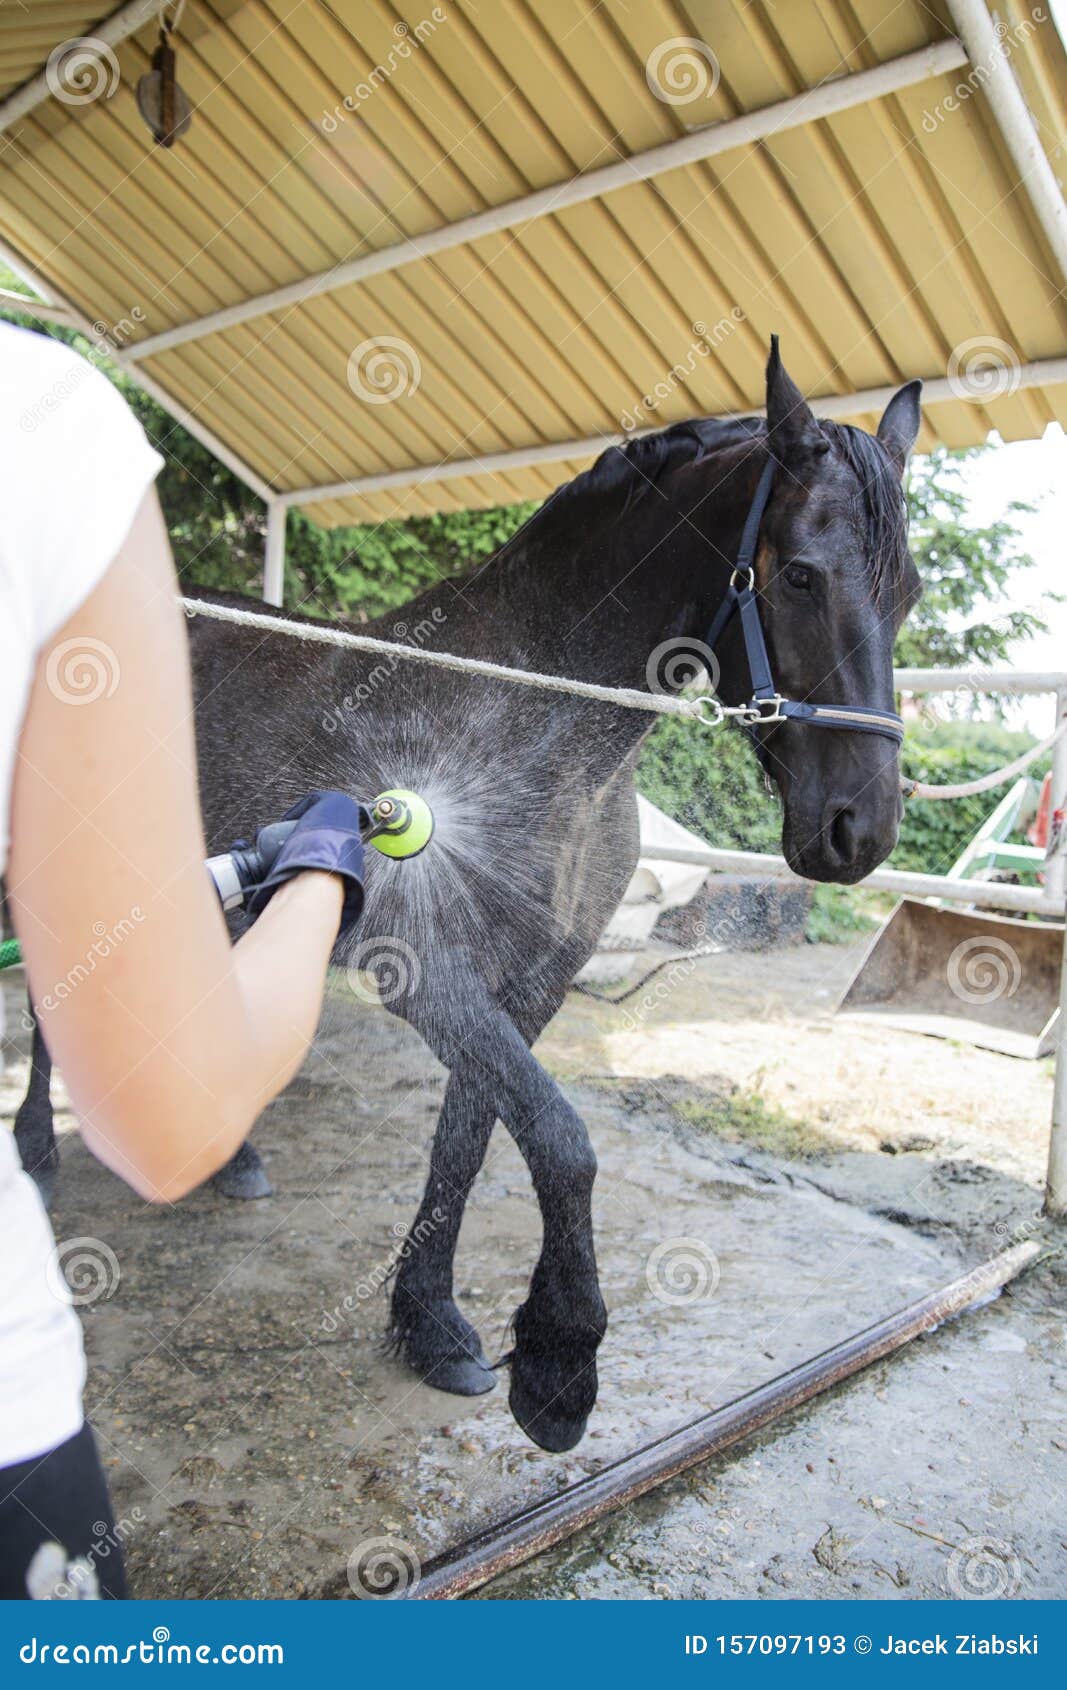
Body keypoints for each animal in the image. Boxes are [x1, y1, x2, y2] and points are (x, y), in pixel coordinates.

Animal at [12, 346, 919, 1453]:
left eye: (908, 592)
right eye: (797, 573)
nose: (856, 831)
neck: (530, 715)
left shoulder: (527, 988)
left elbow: (474, 1141)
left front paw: (430, 1320)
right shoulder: (426, 971)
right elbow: (563, 1145)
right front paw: (559, 1365)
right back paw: (37, 1149)